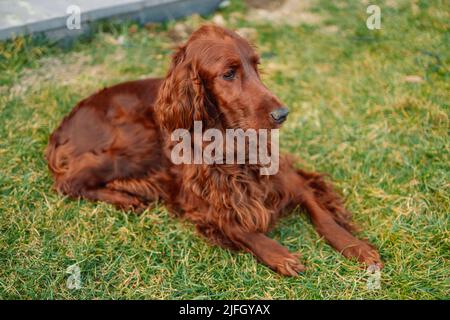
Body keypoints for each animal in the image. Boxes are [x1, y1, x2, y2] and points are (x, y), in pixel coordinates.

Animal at [46, 24, 384, 276]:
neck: (232, 141)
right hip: (135, 144)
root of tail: (62, 129)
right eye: (229, 73)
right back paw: (124, 198)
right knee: (68, 182)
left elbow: (320, 211)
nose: (282, 114)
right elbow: (237, 226)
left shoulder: (284, 176)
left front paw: (355, 245)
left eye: (256, 65)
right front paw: (279, 254)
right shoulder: (199, 202)